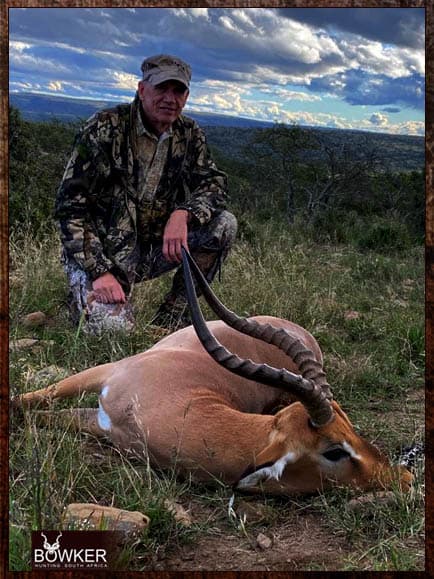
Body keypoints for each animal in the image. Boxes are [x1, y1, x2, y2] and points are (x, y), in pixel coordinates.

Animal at [10, 250, 410, 498]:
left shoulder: (100, 422)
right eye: (335, 450)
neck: (174, 402)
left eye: (353, 429)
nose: (402, 476)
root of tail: (304, 334)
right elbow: (27, 401)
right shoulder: (104, 373)